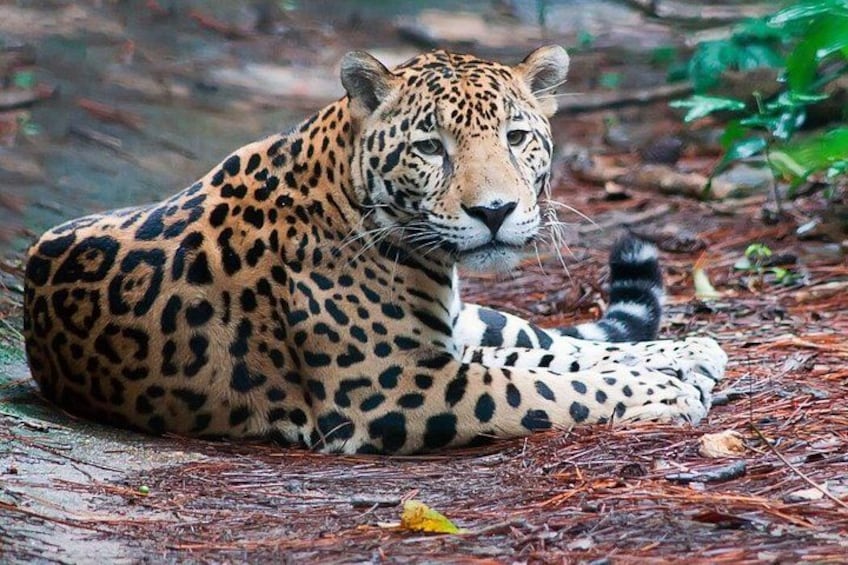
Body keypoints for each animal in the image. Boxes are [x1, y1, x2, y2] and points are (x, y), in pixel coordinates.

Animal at [23, 46, 728, 454]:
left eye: (516, 137)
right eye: (430, 147)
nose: (495, 211)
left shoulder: (435, 356)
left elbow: (551, 365)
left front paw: (672, 370)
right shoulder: (396, 385)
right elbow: (546, 389)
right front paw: (665, 391)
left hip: (468, 325)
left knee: (548, 340)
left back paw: (693, 350)